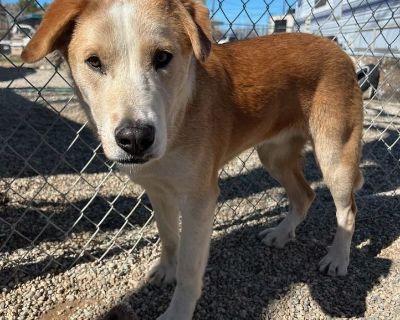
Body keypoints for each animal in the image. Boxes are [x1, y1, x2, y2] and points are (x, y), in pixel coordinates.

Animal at [23, 0, 364, 318]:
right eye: (94, 62)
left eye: (163, 57)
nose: (135, 139)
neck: (177, 116)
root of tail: (337, 49)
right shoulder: (158, 191)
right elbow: (168, 236)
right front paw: (166, 270)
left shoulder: (200, 201)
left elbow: (189, 267)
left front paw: (177, 312)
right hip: (273, 154)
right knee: (304, 195)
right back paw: (281, 233)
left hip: (335, 155)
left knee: (347, 210)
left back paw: (337, 259)